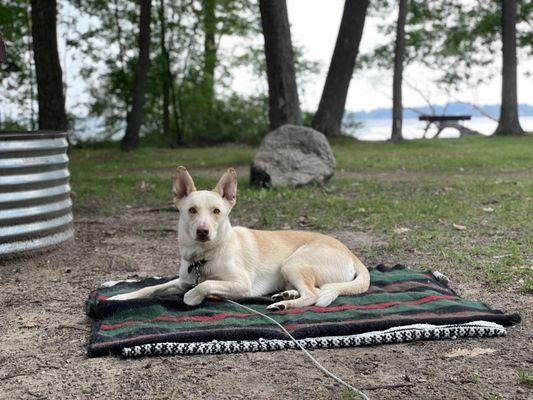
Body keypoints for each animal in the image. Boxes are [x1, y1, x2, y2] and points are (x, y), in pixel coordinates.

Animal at [109, 166, 370, 310]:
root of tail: (352, 254)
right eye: (192, 210)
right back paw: (285, 295)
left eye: (217, 211)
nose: (203, 231)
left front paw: (192, 298)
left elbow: (205, 285)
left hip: (293, 263)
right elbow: (152, 288)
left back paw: (283, 304)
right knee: (309, 290)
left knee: (313, 296)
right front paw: (122, 296)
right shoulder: (183, 280)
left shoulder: (241, 284)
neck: (205, 256)